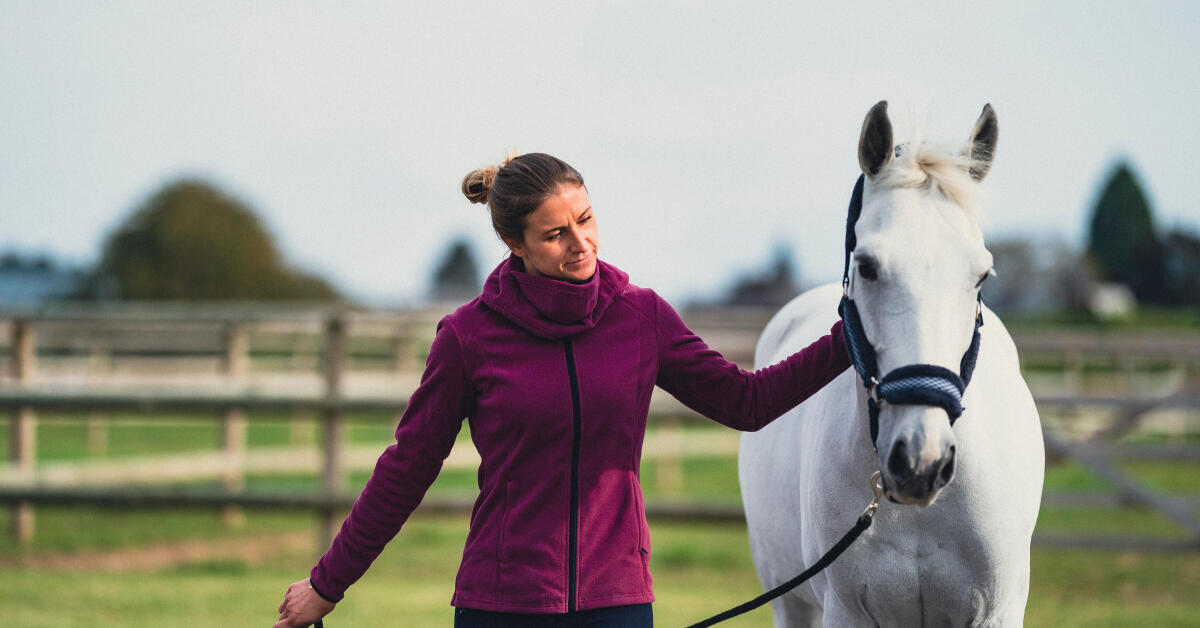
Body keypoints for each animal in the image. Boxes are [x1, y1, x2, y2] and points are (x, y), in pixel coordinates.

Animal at [739, 100, 1041, 624]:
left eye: (982, 274)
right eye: (867, 267)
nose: (922, 461)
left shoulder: (996, 613)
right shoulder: (846, 613)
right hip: (790, 601)